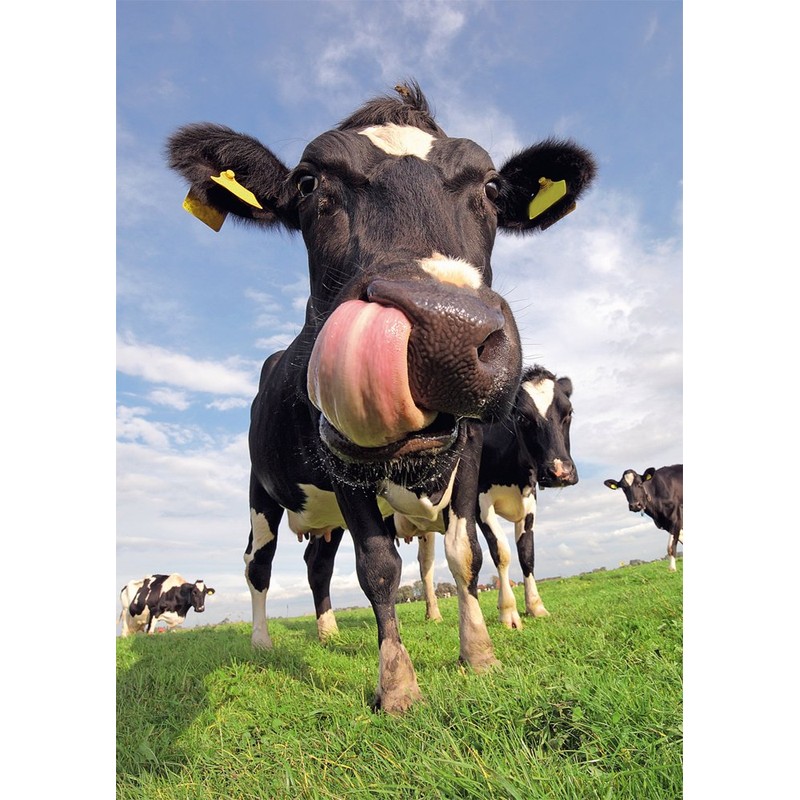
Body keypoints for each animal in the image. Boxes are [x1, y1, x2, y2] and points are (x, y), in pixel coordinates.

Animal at [167, 81, 596, 712]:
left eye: (492, 188)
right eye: (308, 183)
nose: (449, 329)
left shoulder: (469, 456)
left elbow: (466, 554)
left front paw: (480, 654)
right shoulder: (342, 461)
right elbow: (378, 567)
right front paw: (396, 683)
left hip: (323, 517)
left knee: (317, 563)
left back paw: (326, 630)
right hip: (260, 492)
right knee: (258, 563)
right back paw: (263, 641)